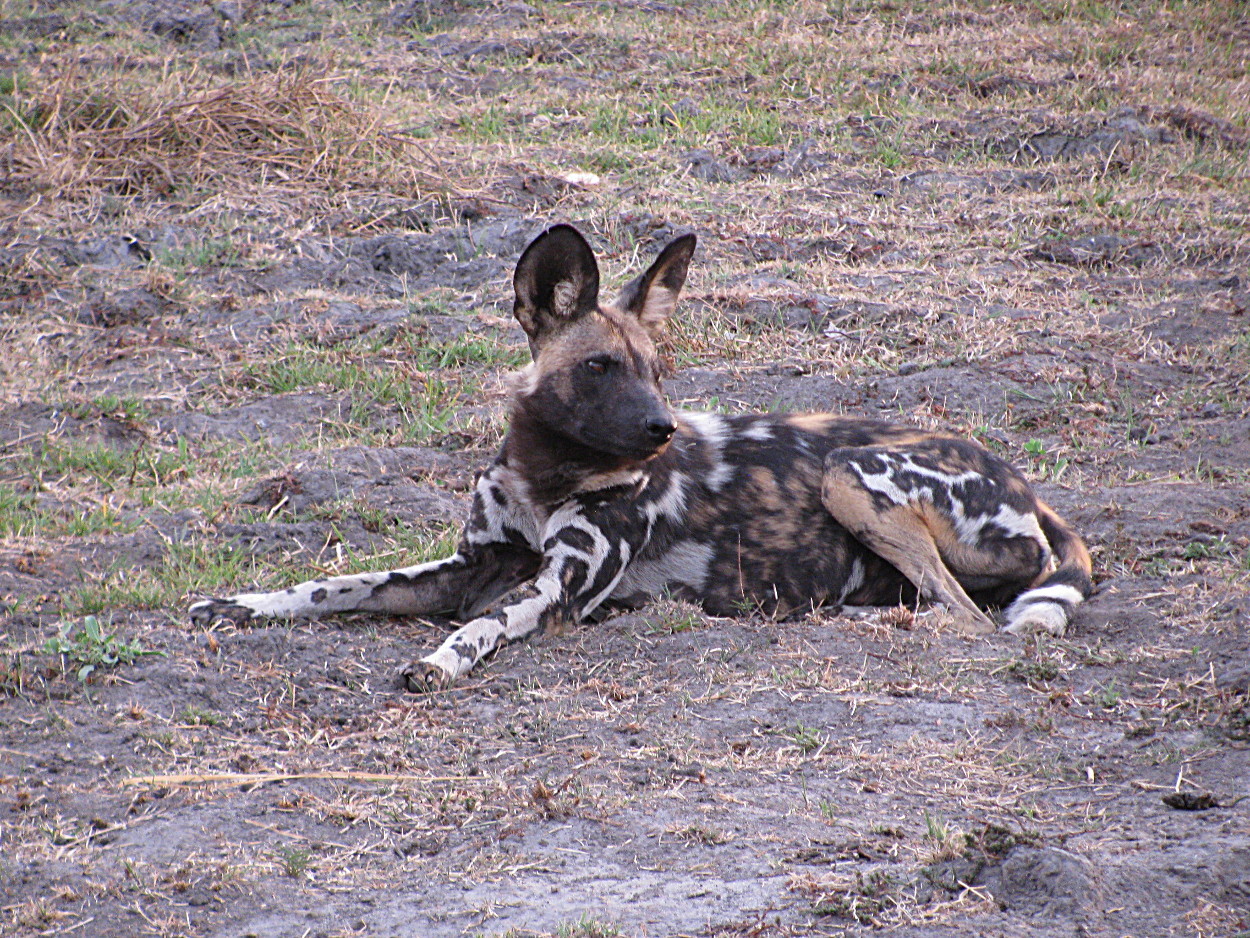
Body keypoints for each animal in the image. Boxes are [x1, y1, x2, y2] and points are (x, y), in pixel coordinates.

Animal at [187, 220, 1095, 690]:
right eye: (600, 368)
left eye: (658, 371)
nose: (662, 427)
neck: (545, 474)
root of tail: (1029, 486)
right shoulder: (468, 565)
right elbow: (334, 584)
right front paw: (245, 604)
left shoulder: (552, 589)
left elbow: (482, 626)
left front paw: (441, 659)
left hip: (850, 473)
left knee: (965, 615)